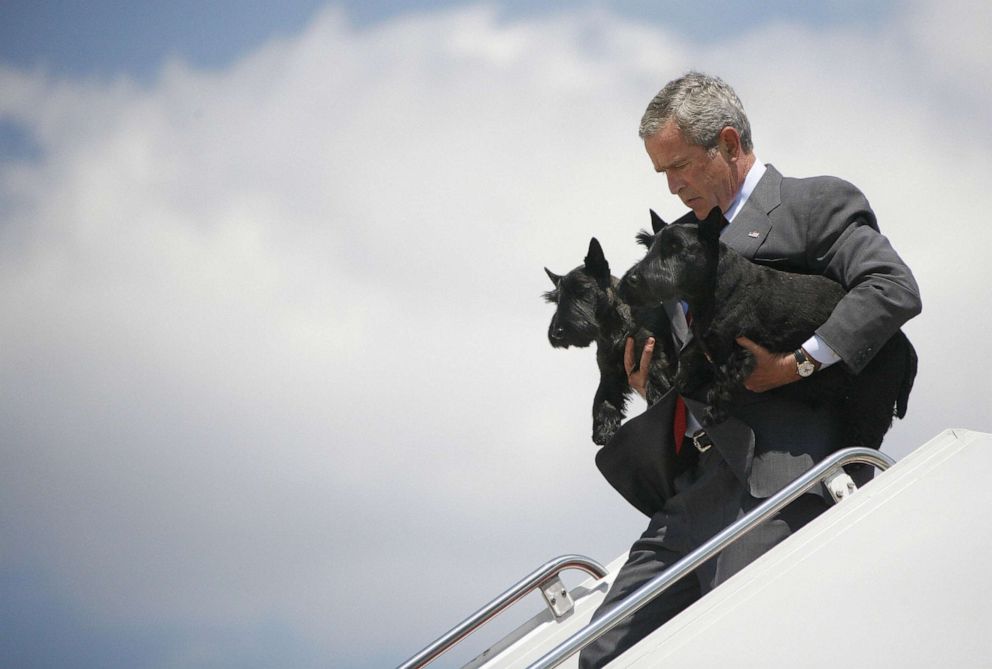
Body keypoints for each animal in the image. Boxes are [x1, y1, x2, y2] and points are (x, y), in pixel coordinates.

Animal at [548, 237, 680, 446]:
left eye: (581, 291)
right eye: (555, 300)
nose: (557, 333)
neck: (613, 329)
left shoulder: (652, 352)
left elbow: (655, 376)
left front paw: (657, 400)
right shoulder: (609, 372)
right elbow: (602, 399)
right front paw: (603, 430)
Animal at [624, 209, 920, 448]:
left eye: (676, 247)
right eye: (649, 246)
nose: (631, 280)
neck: (717, 290)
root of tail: (905, 344)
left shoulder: (739, 353)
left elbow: (724, 382)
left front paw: (714, 411)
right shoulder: (704, 346)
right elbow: (689, 363)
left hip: (870, 403)